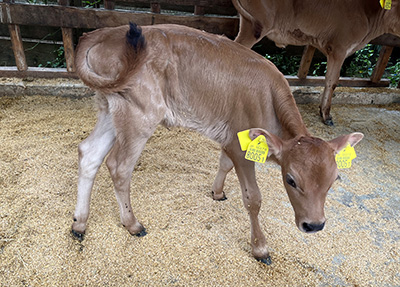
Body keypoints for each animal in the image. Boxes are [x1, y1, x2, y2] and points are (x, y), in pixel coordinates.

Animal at [71, 23, 362, 264]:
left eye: (334, 180)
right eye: (290, 180)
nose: (315, 225)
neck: (269, 99)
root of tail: (103, 32)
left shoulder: (230, 138)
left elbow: (223, 164)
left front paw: (217, 192)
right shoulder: (241, 147)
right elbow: (253, 199)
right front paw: (260, 247)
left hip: (111, 107)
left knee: (90, 154)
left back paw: (79, 223)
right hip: (139, 115)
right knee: (119, 167)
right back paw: (132, 223)